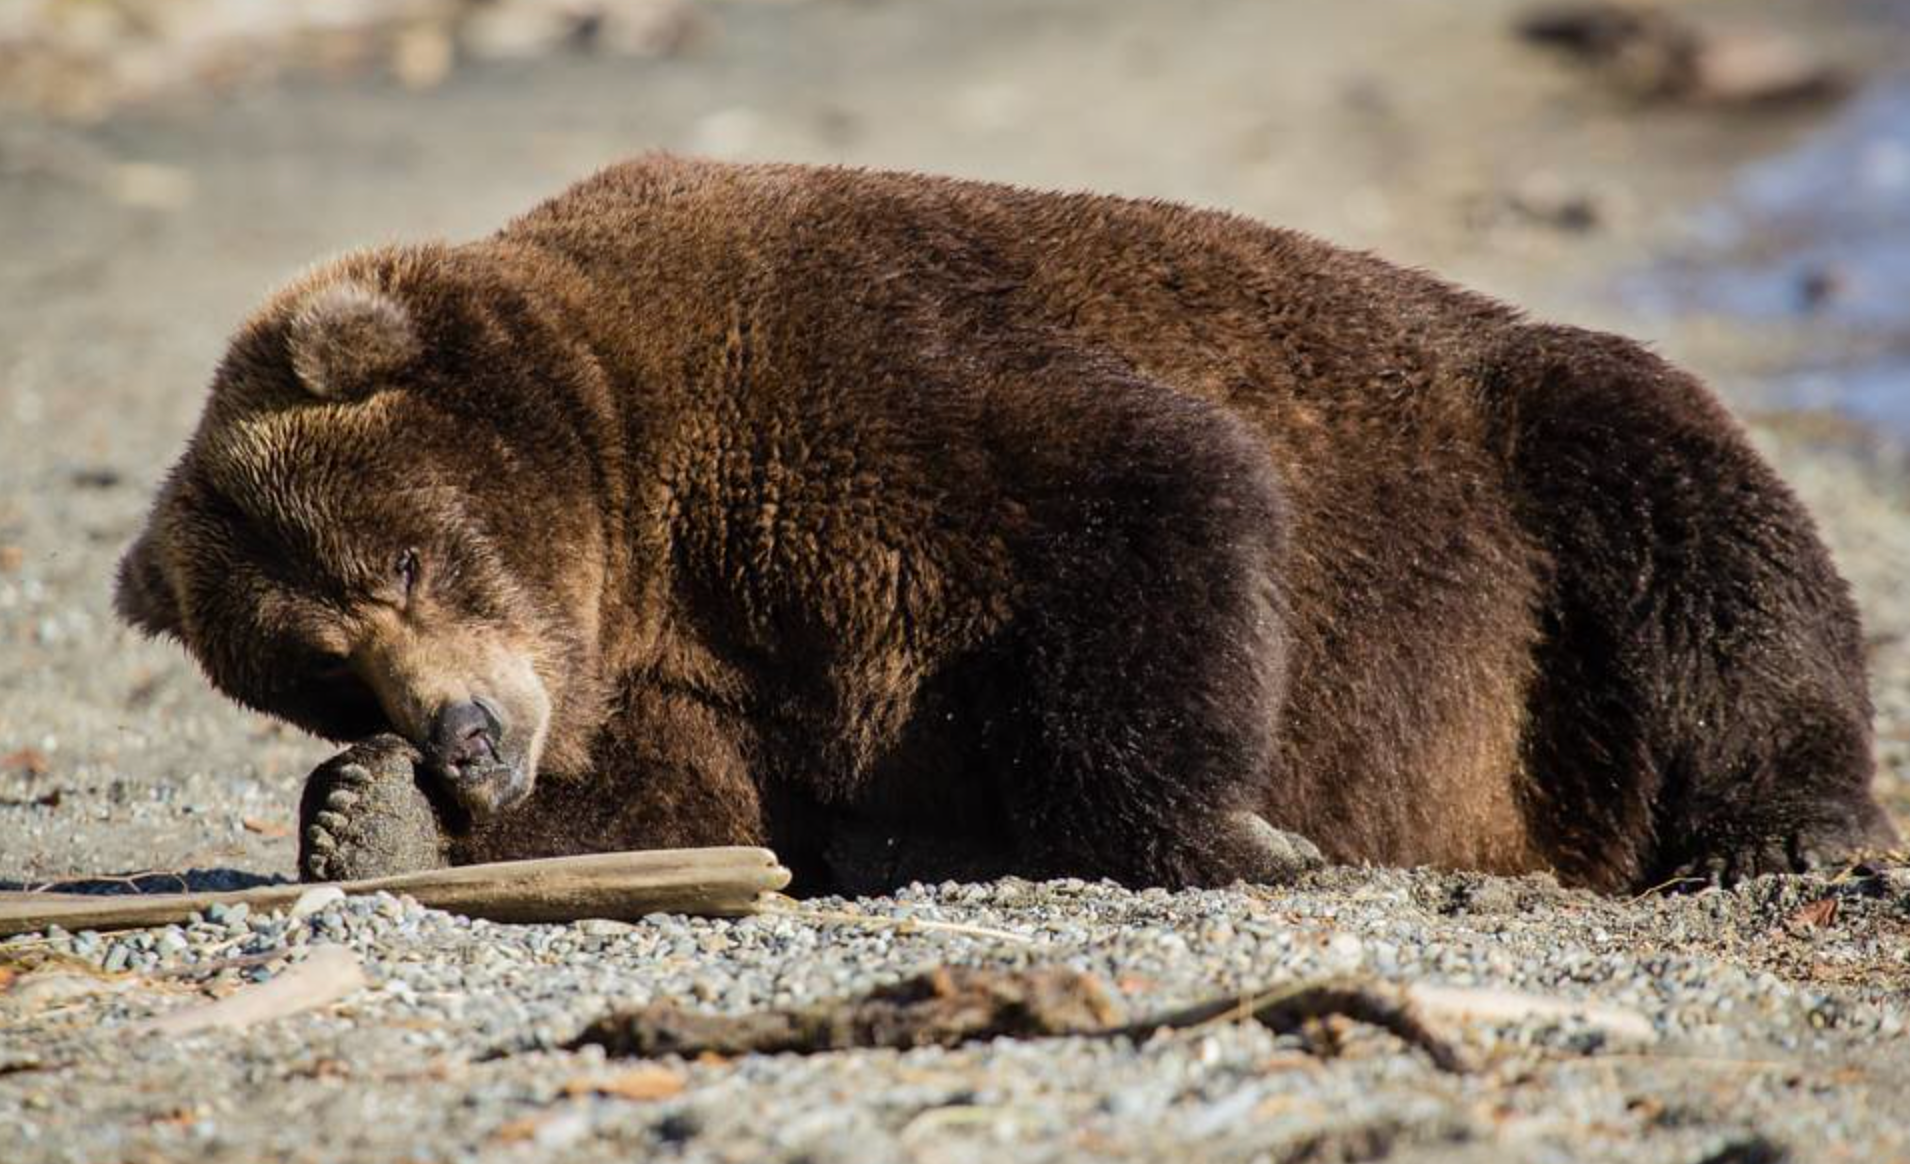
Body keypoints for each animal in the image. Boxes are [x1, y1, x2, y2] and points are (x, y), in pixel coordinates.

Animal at [116, 155, 1898, 895]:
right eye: (321, 666)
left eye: (405, 558)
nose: (466, 737)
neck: (651, 524)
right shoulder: (687, 661)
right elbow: (687, 805)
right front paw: (371, 817)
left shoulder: (848, 373)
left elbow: (1153, 495)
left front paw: (1234, 837)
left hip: (1525, 479)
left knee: (1693, 522)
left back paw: (1775, 832)